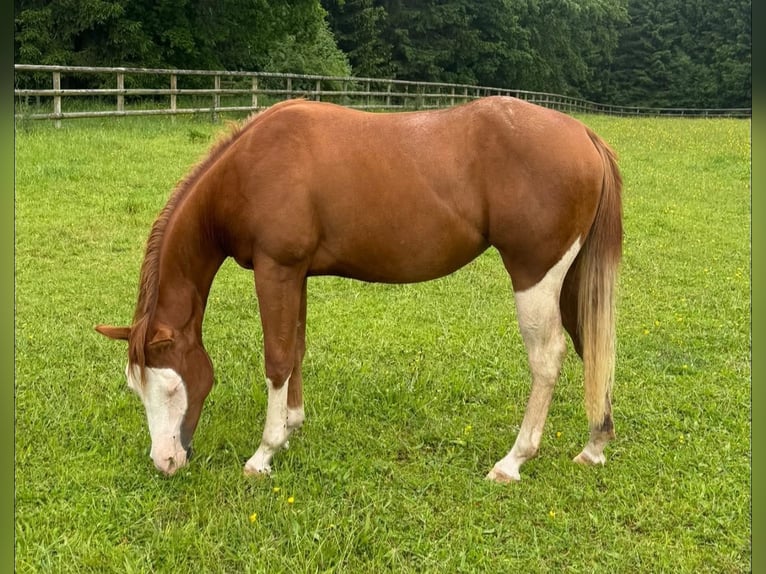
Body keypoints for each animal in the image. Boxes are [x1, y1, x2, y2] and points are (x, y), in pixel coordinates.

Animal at [96, 96, 622, 483]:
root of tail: (585, 135)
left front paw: (264, 453)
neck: (250, 168)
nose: (165, 462)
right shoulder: (295, 274)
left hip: (534, 276)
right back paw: (594, 446)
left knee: (548, 358)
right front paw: (292, 426)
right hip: (570, 281)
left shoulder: (275, 270)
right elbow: (296, 349)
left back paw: (513, 461)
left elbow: (277, 360)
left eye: (169, 386)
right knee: (590, 346)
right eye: (134, 387)